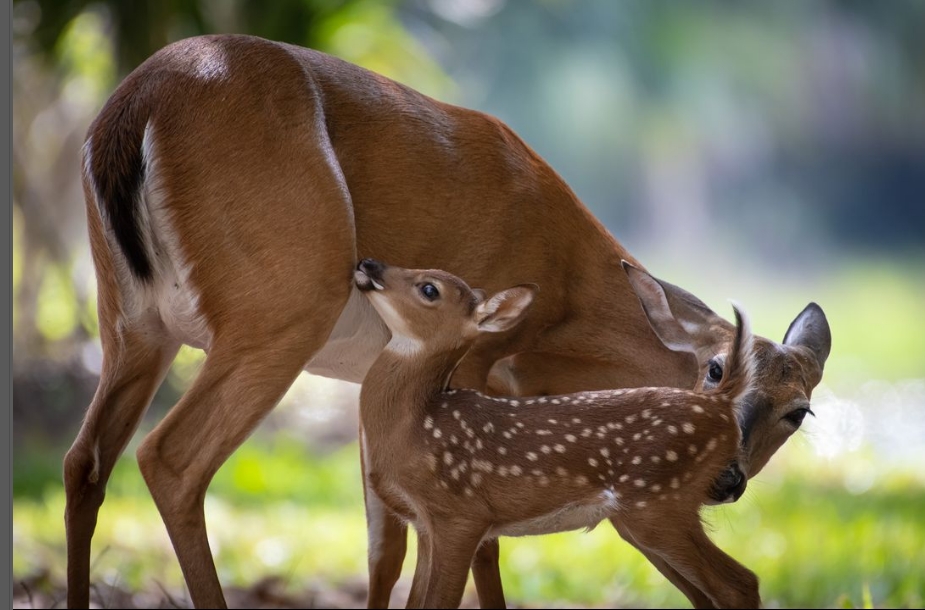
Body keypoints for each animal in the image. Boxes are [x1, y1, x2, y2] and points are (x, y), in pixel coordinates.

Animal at [354, 257, 823, 609]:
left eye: (429, 289)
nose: (368, 263)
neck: (414, 425)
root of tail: (721, 403)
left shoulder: (461, 513)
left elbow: (440, 599)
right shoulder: (424, 524)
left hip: (657, 504)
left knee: (740, 583)